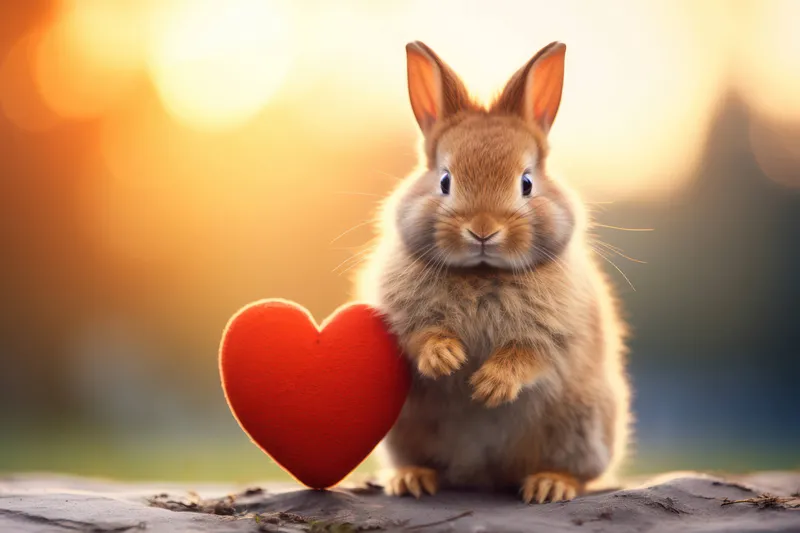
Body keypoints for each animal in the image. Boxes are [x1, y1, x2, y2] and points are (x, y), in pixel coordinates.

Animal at [354, 40, 631, 504]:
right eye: (445, 181)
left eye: (526, 183)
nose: (483, 230)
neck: (481, 273)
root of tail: (481, 476)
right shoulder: (401, 320)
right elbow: (420, 337)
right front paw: (446, 358)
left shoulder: (555, 337)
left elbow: (530, 355)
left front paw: (489, 385)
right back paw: (412, 481)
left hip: (581, 425)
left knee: (578, 474)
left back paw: (549, 486)